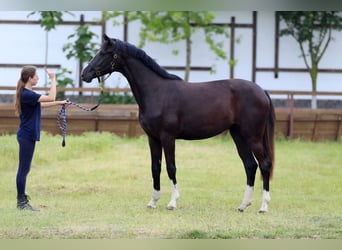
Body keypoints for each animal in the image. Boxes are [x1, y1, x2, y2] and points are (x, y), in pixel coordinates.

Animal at [82, 34, 276, 212]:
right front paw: (153, 201)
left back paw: (264, 206)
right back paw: (243, 205)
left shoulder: (168, 137)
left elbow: (171, 167)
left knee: (264, 164)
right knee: (250, 165)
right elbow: (155, 168)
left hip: (253, 137)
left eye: (104, 53)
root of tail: (261, 91)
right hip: (238, 135)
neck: (157, 91)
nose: (85, 74)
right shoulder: (153, 138)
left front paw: (172, 202)